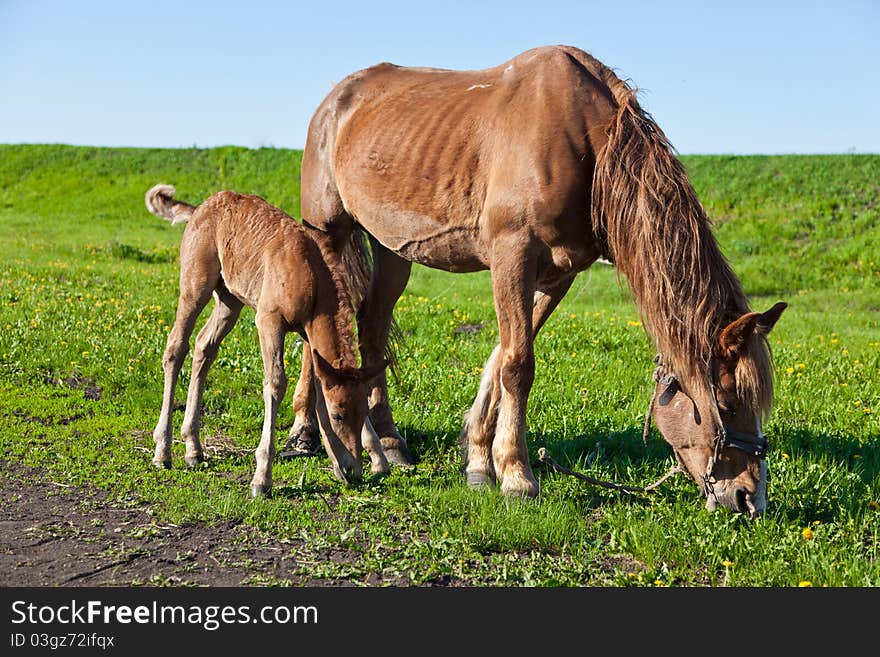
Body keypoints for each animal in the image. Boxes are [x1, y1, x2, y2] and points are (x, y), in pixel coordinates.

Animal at [290, 47, 792, 516]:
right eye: (726, 405)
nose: (751, 499)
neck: (588, 144)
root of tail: (335, 100)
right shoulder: (512, 255)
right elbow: (517, 364)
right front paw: (517, 476)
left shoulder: (556, 274)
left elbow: (502, 356)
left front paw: (479, 460)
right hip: (328, 232)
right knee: (322, 329)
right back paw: (307, 433)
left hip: (393, 251)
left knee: (371, 328)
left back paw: (389, 441)